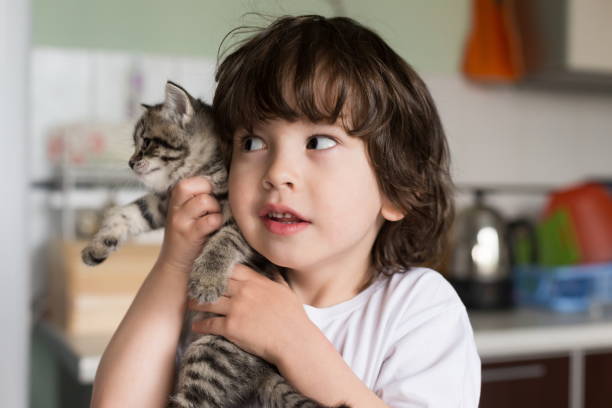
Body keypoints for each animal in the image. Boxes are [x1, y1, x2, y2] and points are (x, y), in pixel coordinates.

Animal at [82, 80, 350, 408]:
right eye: (136, 143)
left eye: (146, 142)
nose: (132, 162)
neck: (203, 167)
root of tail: (263, 370)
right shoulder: (165, 203)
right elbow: (130, 211)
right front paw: (98, 245)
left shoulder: (246, 221)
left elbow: (224, 240)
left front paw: (207, 279)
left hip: (211, 353)